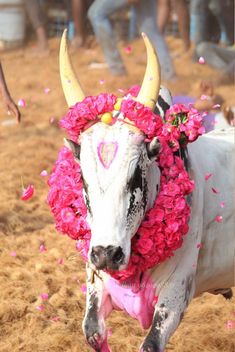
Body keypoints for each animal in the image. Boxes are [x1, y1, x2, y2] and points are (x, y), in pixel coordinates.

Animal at [57, 31, 234, 352]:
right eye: (83, 179)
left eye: (135, 176)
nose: (107, 254)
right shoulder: (96, 282)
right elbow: (92, 331)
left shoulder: (175, 296)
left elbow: (150, 344)